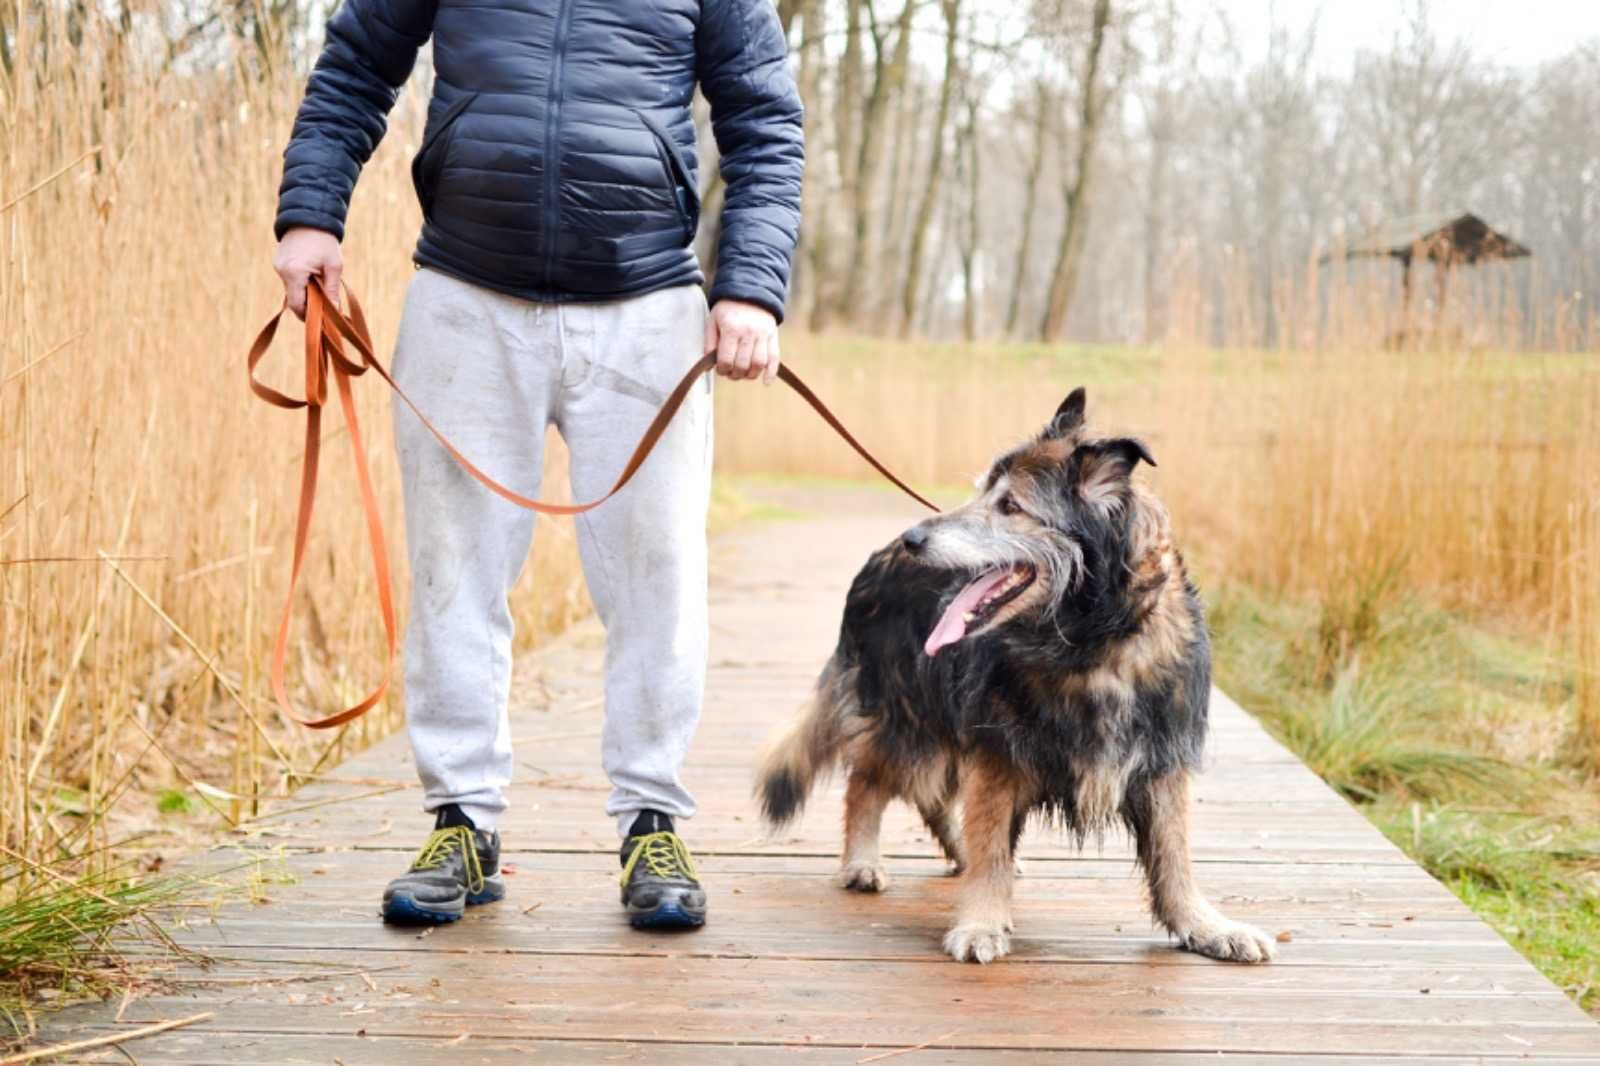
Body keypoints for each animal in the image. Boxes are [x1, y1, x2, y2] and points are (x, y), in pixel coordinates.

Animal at [752, 385, 1273, 960]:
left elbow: (1174, 855)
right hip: (910, 718)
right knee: (869, 783)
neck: (1090, 642)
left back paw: (955, 852)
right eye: (981, 491)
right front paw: (982, 921)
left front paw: (1204, 926)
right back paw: (863, 860)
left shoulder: (1160, 758)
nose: (913, 537)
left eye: (1010, 506)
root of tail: (875, 560)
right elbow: (993, 845)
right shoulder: (1000, 751)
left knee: (934, 800)